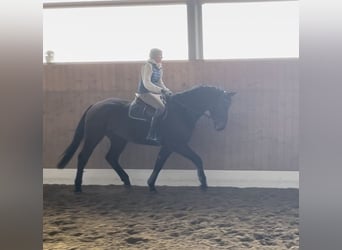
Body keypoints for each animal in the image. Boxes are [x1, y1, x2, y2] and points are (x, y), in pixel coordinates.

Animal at [57, 85, 236, 192]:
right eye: (221, 104)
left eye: (229, 105)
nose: (221, 126)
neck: (182, 111)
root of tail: (95, 105)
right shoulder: (177, 144)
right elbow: (197, 159)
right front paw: (203, 182)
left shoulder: (169, 146)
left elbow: (159, 163)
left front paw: (151, 184)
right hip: (94, 136)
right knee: (83, 157)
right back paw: (78, 186)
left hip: (118, 139)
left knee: (111, 157)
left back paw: (126, 181)